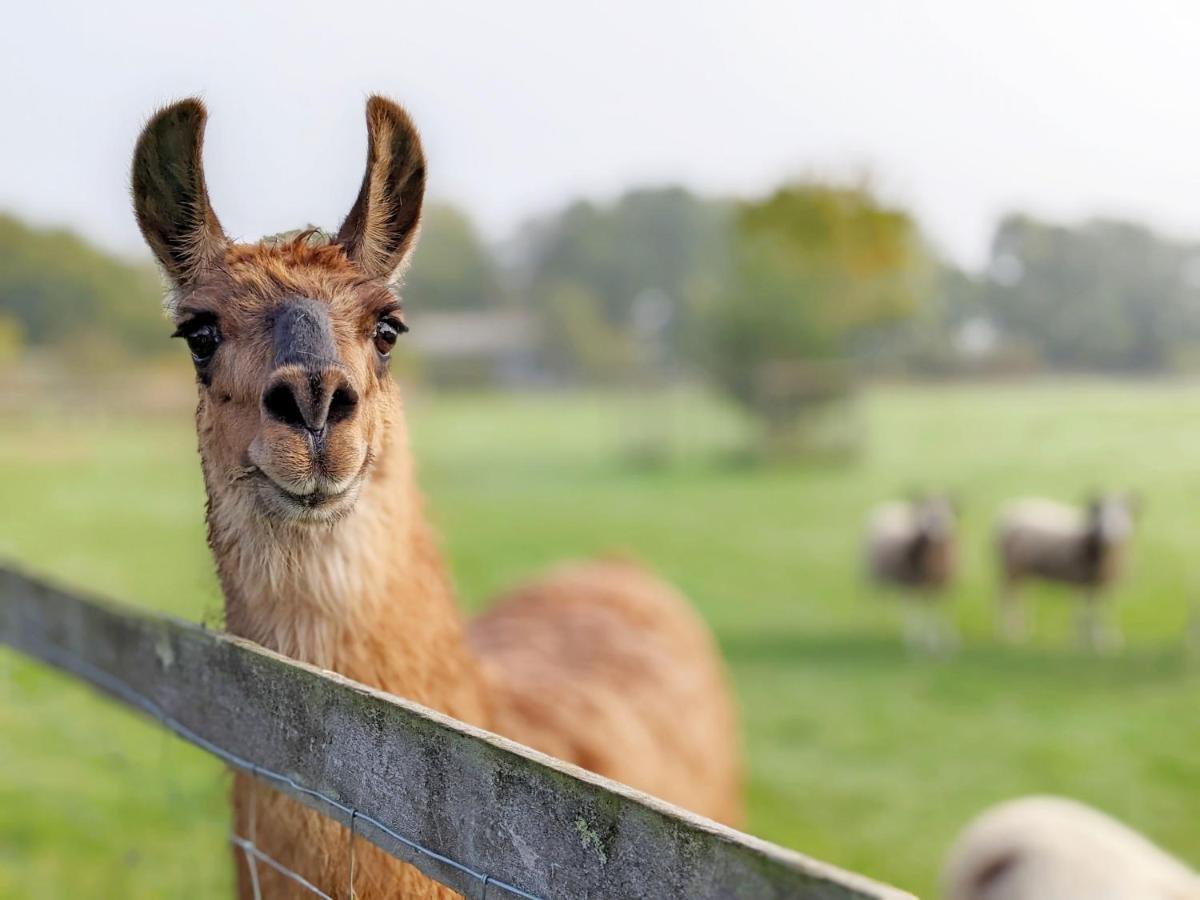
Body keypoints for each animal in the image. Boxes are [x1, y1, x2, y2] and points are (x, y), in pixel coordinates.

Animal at [868, 494, 960, 657]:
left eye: (948, 509)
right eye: (926, 510)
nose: (937, 526)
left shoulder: (944, 586)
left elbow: (943, 612)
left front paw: (947, 645)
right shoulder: (914, 584)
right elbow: (920, 613)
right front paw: (921, 646)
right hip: (878, 577)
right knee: (880, 604)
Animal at [993, 496, 1132, 652]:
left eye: (1123, 513)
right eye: (1102, 513)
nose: (1113, 534)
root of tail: (1007, 511)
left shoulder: (1102, 585)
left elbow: (1103, 612)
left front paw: (1106, 641)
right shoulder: (1078, 580)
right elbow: (1081, 613)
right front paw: (1081, 642)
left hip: (1023, 573)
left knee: (1022, 597)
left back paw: (1023, 628)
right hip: (1010, 570)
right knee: (1006, 598)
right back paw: (1010, 632)